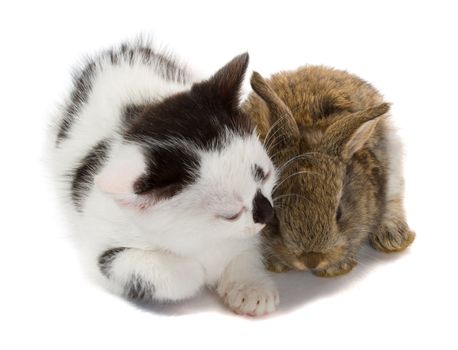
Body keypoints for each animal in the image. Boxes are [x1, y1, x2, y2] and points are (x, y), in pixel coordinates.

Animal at [49, 39, 280, 316]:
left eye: (264, 175)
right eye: (230, 214)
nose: (267, 213)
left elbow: (245, 249)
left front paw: (250, 288)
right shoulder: (101, 247)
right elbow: (181, 273)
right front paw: (200, 271)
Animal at [243, 67, 416, 276]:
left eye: (339, 213)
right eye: (274, 214)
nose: (311, 261)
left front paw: (336, 269)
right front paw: (275, 264)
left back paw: (393, 237)